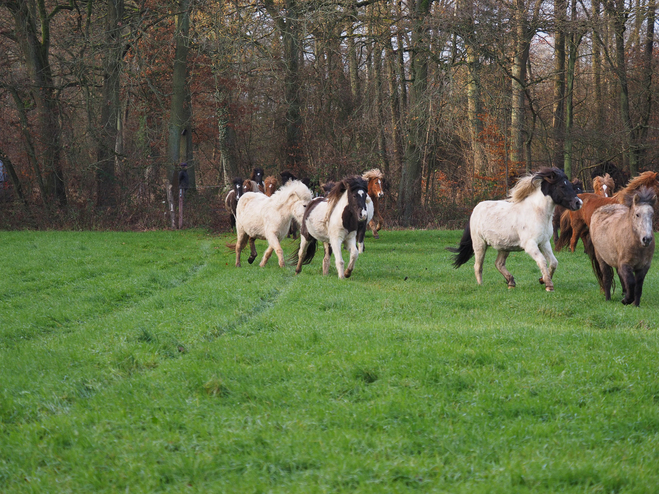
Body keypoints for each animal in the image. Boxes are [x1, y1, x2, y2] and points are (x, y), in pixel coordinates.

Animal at [448, 168, 584, 292]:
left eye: (571, 185)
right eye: (561, 186)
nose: (578, 203)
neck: (537, 213)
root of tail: (476, 209)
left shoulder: (544, 243)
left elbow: (553, 262)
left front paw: (542, 279)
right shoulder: (530, 245)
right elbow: (542, 261)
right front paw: (549, 286)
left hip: (504, 246)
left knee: (499, 264)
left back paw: (511, 283)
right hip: (479, 244)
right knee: (478, 266)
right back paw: (481, 286)